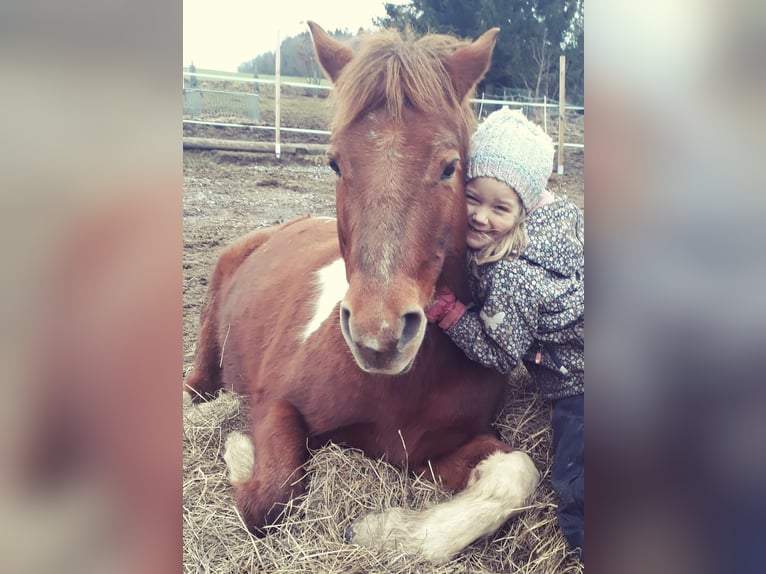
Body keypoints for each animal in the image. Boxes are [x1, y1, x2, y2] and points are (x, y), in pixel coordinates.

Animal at [184, 21, 540, 564]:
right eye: (334, 162)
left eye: (449, 166)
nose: (381, 335)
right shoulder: (275, 403)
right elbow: (271, 496)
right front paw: (238, 450)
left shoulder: (439, 448)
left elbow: (515, 474)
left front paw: (385, 530)